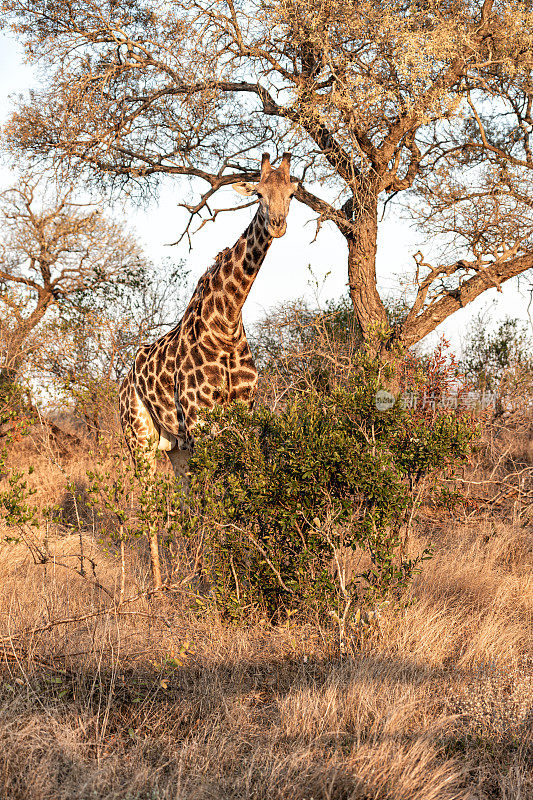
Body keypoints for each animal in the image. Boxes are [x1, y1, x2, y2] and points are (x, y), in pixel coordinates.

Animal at [118, 154, 298, 484]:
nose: (277, 225)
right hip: (139, 438)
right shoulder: (197, 420)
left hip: (174, 446)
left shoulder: (244, 410)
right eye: (258, 194)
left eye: (291, 194)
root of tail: (124, 384)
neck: (226, 323)